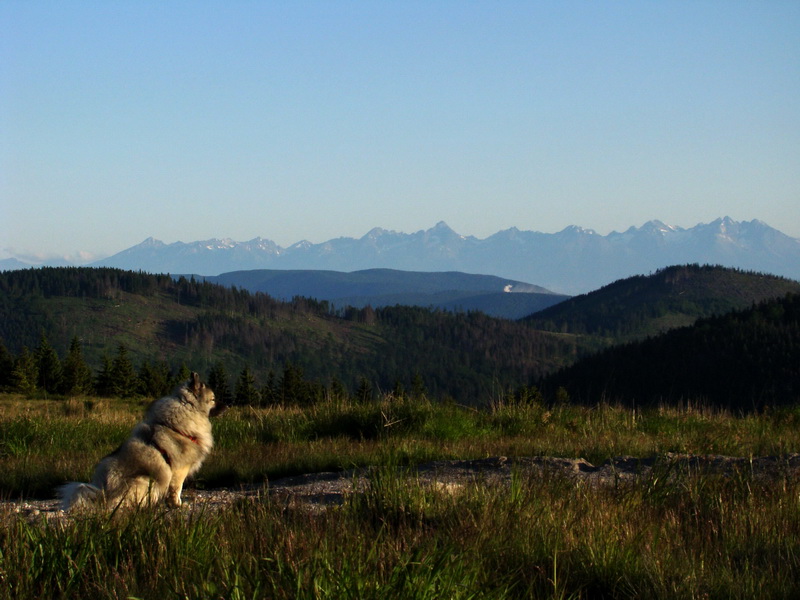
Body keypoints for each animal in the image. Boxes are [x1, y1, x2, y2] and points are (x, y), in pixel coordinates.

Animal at [58, 372, 223, 508]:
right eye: (213, 399)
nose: (227, 405)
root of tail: (104, 492)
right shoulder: (179, 469)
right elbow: (176, 489)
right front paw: (177, 505)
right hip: (146, 479)